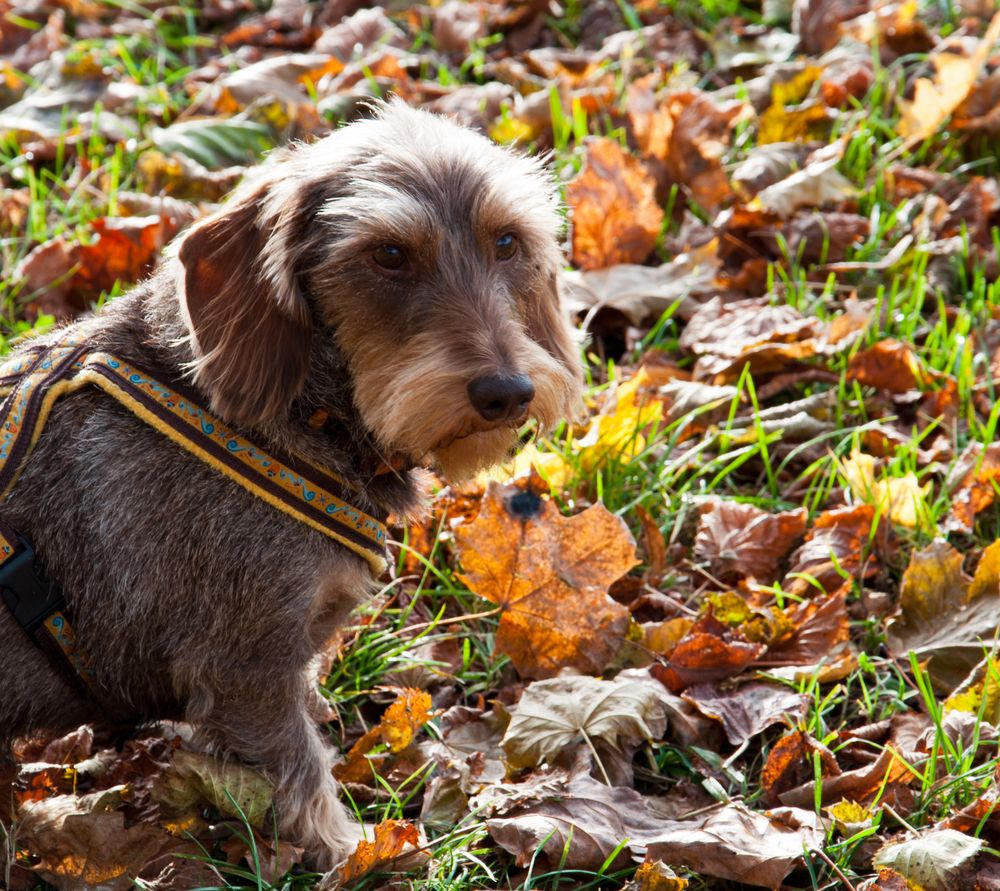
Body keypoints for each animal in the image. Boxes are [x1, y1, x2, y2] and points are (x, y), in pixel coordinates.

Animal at [0, 101, 584, 868]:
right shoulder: (244, 667)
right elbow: (299, 773)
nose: (507, 391)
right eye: (389, 254)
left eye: (507, 241)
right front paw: (355, 851)